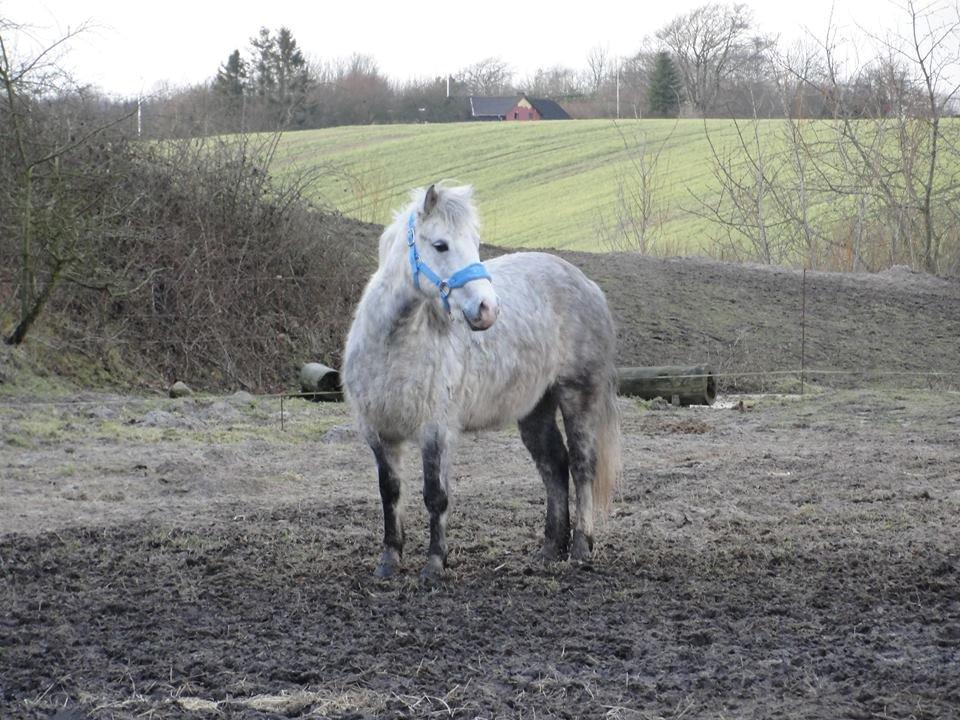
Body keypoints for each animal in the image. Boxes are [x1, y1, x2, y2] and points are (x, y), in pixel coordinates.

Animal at [342, 183, 621, 580]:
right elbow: (390, 493)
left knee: (582, 466)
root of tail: (587, 284)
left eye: (475, 243)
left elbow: (435, 495)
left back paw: (581, 547)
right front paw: (389, 561)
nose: (488, 309)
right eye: (440, 244)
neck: (394, 346)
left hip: (578, 395)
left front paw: (434, 564)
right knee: (554, 465)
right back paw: (551, 548)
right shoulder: (379, 433)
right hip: (535, 408)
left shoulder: (436, 430)